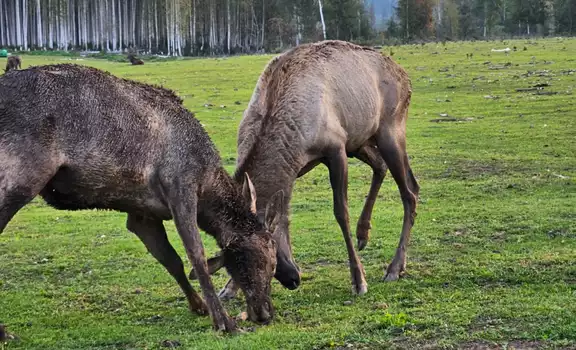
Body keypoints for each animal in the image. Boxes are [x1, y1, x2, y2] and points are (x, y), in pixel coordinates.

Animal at [0, 63, 284, 334]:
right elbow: (197, 256)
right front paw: (224, 321)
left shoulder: (142, 214)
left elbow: (172, 260)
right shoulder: (180, 187)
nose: (265, 313)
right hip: (20, 177)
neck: (207, 183)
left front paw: (198, 305)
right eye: (271, 262)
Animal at [191, 40, 420, 298]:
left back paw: (394, 267)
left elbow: (341, 212)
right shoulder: (301, 167)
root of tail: (404, 75)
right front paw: (230, 288)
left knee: (409, 193)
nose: (292, 279)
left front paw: (358, 279)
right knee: (384, 168)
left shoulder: (336, 147)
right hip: (360, 140)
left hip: (390, 130)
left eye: (270, 246)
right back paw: (364, 233)